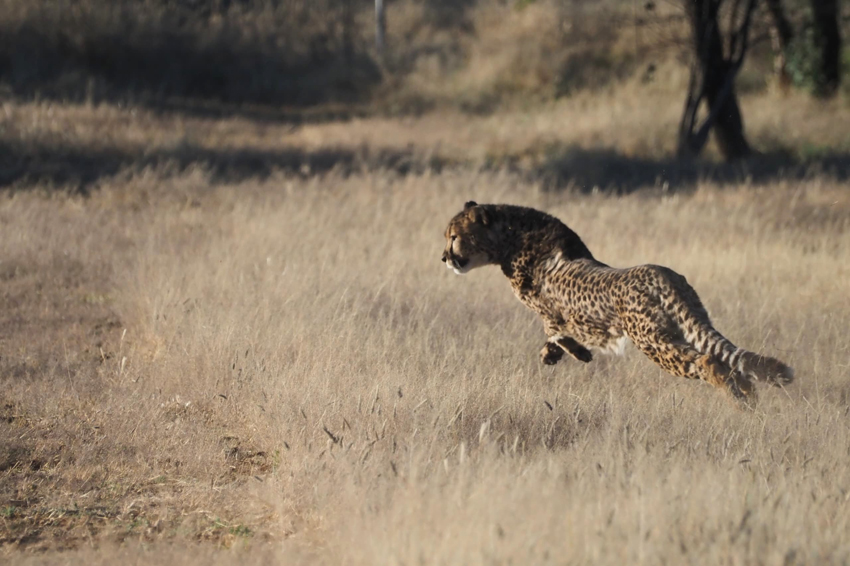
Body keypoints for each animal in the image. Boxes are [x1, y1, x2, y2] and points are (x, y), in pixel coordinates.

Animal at [441, 201, 794, 405]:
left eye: (454, 236)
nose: (444, 257)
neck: (511, 235)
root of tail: (661, 274)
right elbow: (554, 334)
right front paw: (552, 354)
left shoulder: (547, 309)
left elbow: (555, 329)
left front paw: (574, 352)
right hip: (681, 328)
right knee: (728, 360)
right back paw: (750, 395)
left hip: (652, 342)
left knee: (706, 361)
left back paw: (738, 398)